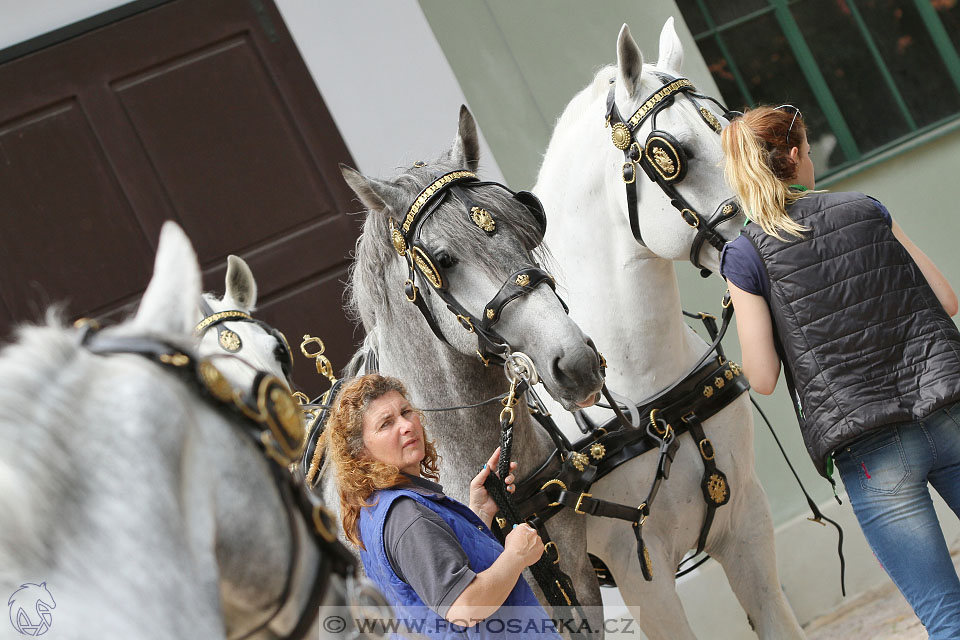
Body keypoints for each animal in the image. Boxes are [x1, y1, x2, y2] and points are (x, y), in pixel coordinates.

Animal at [536, 20, 808, 640]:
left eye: (730, 128)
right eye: (671, 154)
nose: (775, 228)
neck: (647, 398)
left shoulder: (747, 520)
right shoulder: (641, 573)